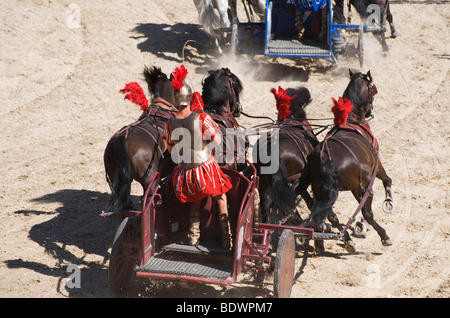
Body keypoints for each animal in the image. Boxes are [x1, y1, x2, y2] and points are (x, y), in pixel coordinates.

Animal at [304, 69, 392, 253]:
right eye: (373, 88)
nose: (369, 111)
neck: (351, 120)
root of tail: (325, 157)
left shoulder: (354, 186)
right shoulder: (375, 166)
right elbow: (387, 179)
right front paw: (389, 200)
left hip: (322, 190)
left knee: (332, 216)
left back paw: (347, 240)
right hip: (364, 186)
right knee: (367, 213)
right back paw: (383, 235)